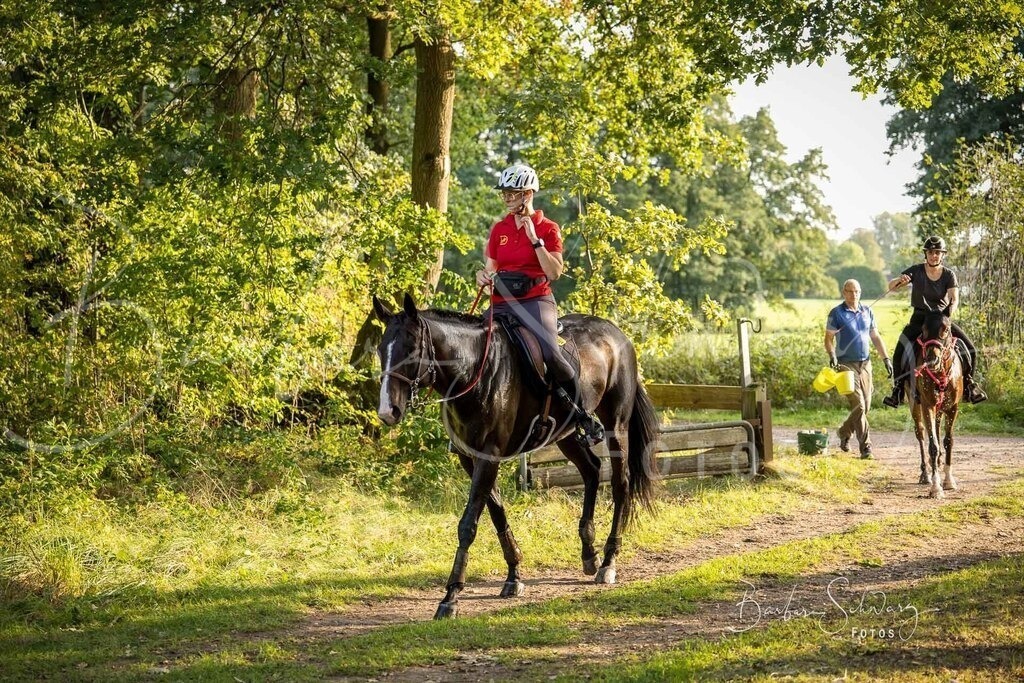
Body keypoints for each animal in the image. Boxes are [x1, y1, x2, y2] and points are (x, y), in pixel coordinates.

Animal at [372, 293, 659, 619]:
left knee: (620, 484)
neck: (474, 370)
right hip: (566, 434)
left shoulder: (489, 456)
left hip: (616, 426)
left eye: (410, 349)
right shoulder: (470, 458)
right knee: (591, 470)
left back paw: (609, 562)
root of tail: (617, 333)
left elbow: (468, 524)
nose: (388, 411)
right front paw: (514, 575)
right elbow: (497, 512)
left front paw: (451, 596)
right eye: (381, 350)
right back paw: (589, 553)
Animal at [907, 312, 963, 498]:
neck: (940, 374)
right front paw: (936, 488)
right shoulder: (927, 406)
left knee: (937, 431)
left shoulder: (953, 408)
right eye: (923, 329)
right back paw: (926, 474)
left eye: (945, 329)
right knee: (921, 434)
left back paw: (937, 464)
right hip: (915, 405)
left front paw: (948, 480)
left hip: (940, 410)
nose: (932, 359)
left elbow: (948, 441)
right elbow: (932, 445)